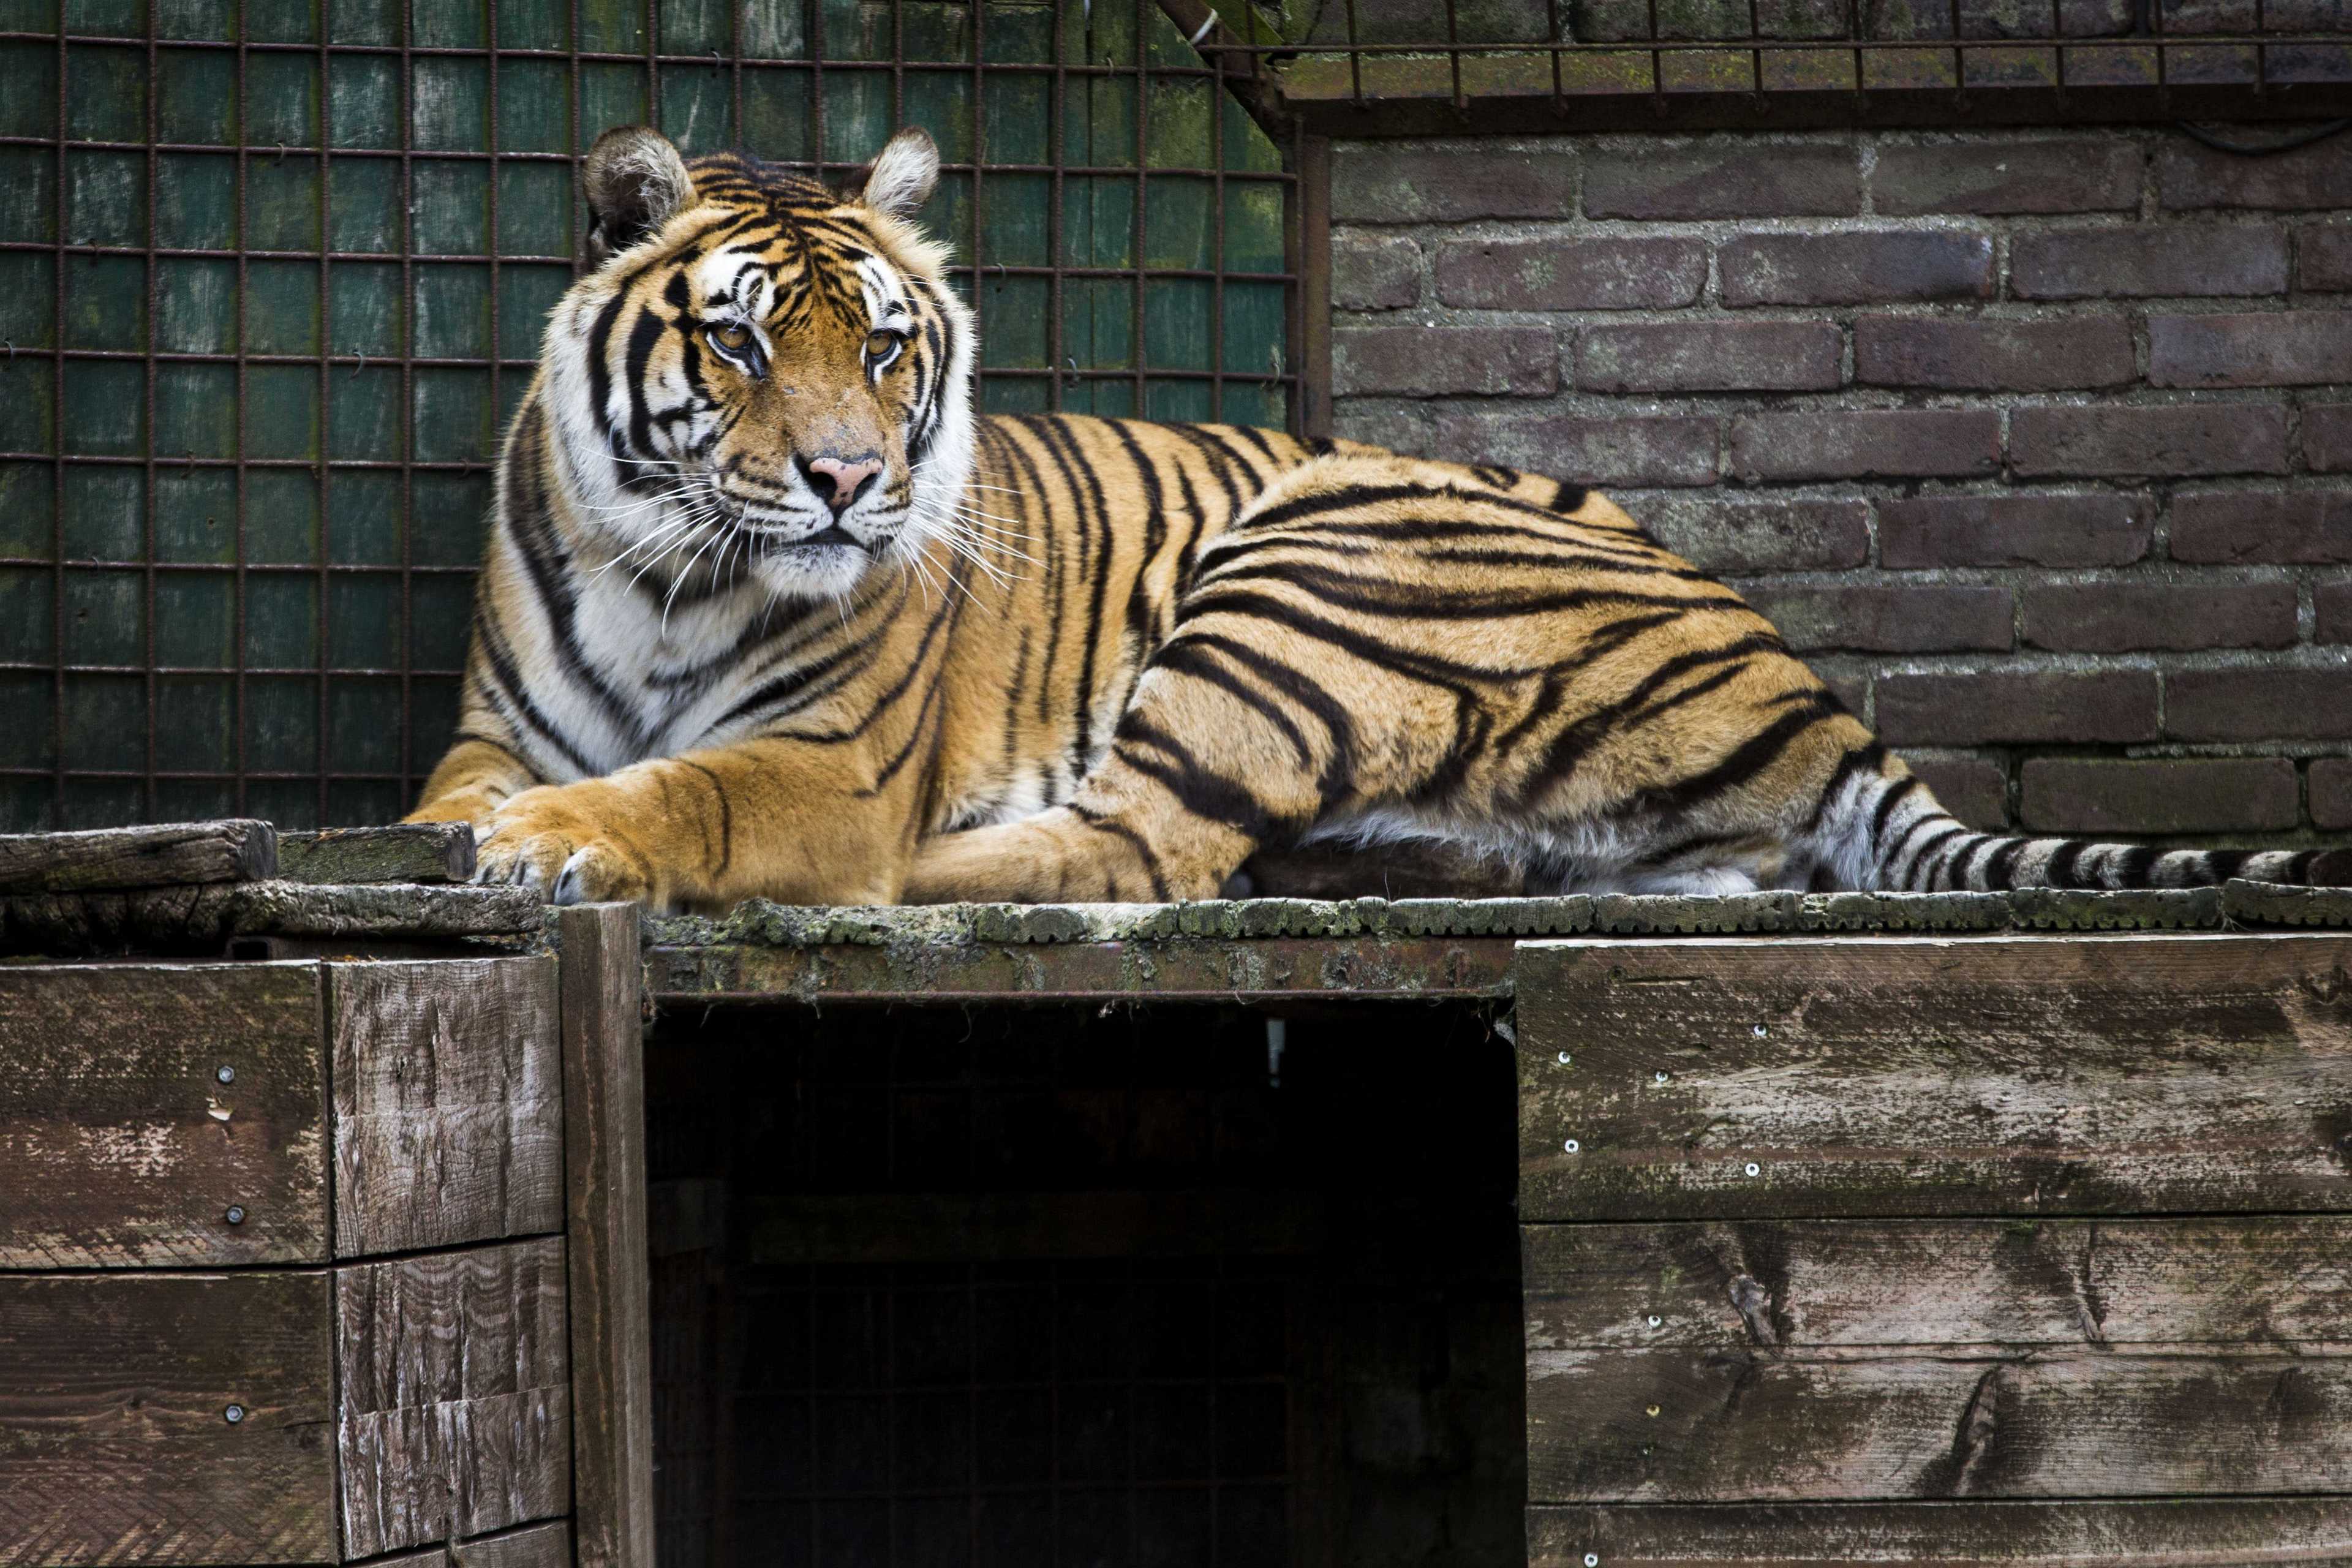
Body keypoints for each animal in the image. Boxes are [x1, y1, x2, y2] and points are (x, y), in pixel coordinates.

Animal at [409, 123, 2351, 908]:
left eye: (885, 351)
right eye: (738, 342)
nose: (847, 481)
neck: (669, 574)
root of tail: (1813, 689)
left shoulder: (836, 755)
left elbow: (706, 794)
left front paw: (566, 843)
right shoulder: (494, 728)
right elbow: (466, 793)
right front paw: (490, 832)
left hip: (1315, 556)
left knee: (1137, 848)